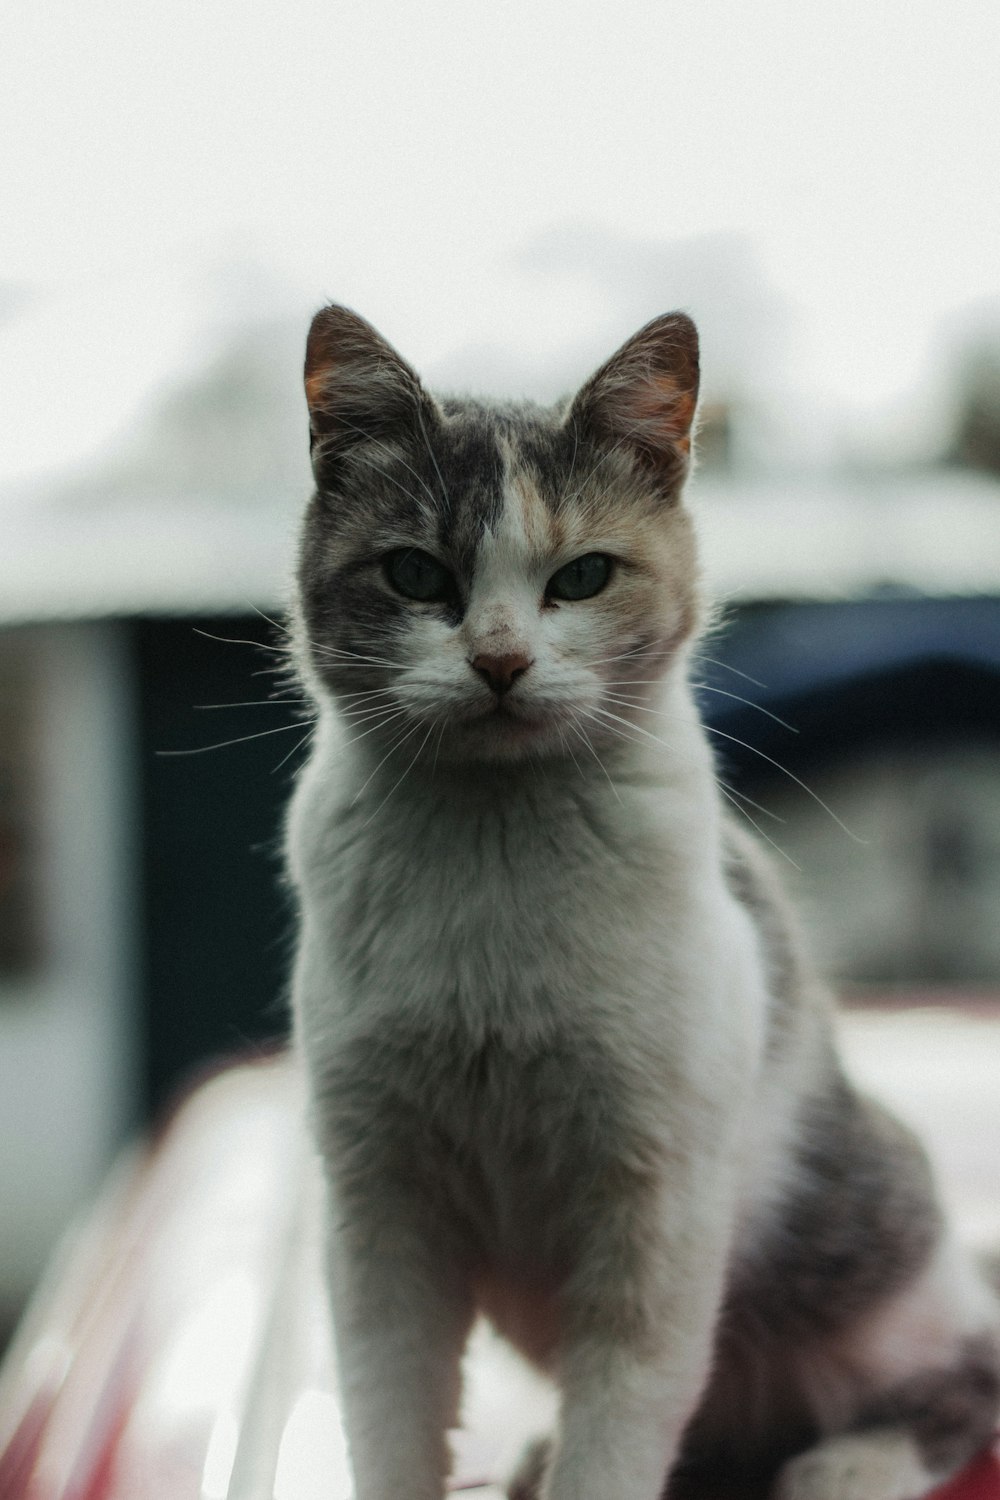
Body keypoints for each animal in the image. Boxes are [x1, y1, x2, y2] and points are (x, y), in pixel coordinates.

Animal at [283, 304, 1000, 1500]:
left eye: (581, 577)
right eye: (415, 574)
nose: (500, 660)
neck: (495, 849)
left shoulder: (655, 1210)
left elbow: (620, 1425)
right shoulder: (378, 1202)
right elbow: (391, 1411)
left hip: (859, 1246)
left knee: (966, 1374)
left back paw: (850, 1463)